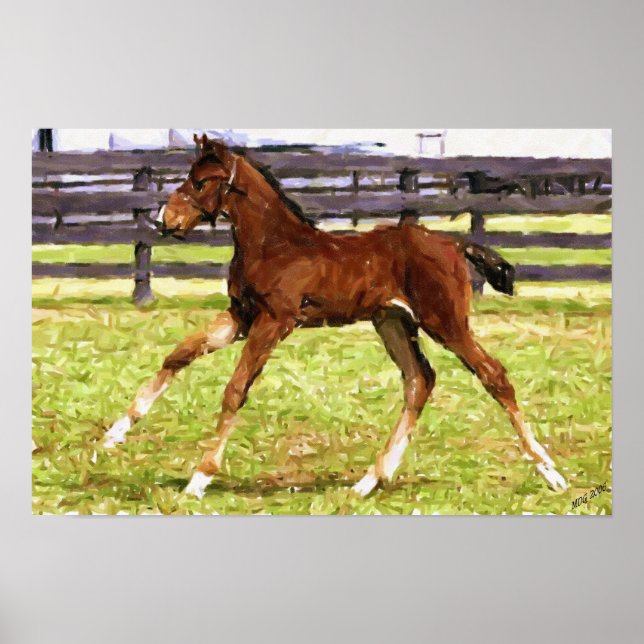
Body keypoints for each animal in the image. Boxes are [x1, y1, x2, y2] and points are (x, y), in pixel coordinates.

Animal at [103, 134, 567, 499]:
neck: (274, 245)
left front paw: (199, 478)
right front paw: (114, 434)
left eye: (200, 181)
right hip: (392, 322)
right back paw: (368, 481)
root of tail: (452, 243)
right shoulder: (241, 317)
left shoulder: (274, 322)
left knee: (494, 375)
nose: (165, 221)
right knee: (419, 380)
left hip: (445, 322)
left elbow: (235, 390)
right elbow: (178, 355)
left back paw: (550, 472)